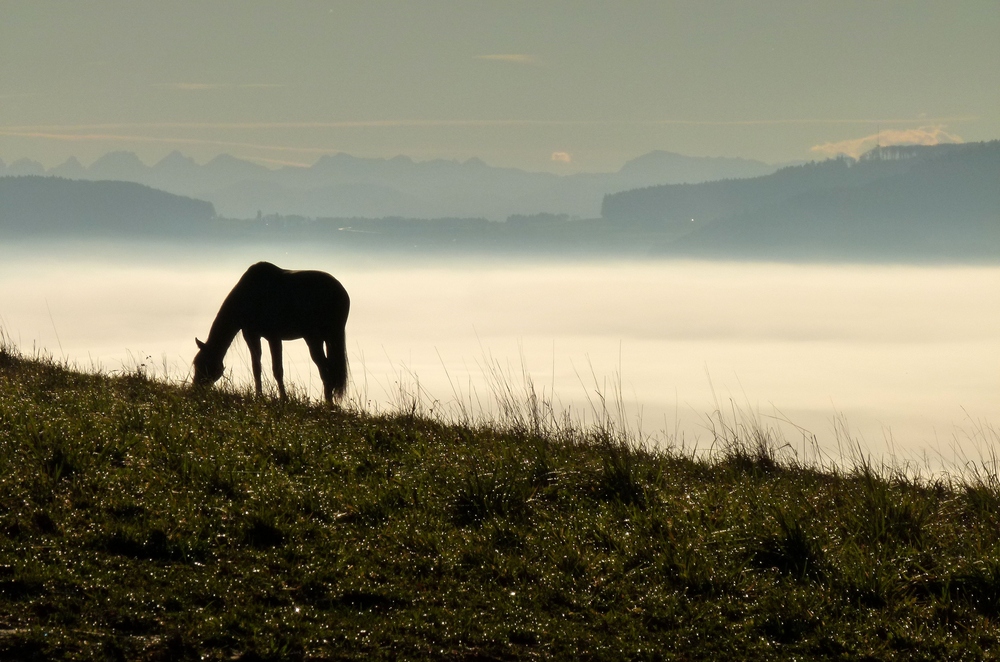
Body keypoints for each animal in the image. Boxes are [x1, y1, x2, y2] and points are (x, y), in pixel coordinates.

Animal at [193, 262, 350, 402]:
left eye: (203, 364)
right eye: (196, 363)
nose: (196, 389)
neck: (250, 296)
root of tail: (341, 291)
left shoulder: (274, 338)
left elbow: (278, 370)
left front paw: (284, 399)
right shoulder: (252, 336)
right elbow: (256, 368)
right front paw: (259, 396)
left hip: (314, 338)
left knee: (325, 368)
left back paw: (328, 404)